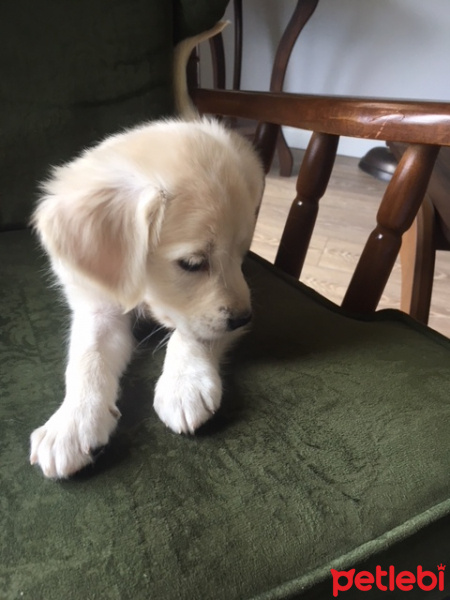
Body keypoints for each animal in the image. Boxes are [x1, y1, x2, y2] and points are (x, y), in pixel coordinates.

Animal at [29, 22, 266, 478]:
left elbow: (192, 330)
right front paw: (70, 422)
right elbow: (85, 357)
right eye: (192, 263)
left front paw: (184, 383)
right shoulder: (96, 303)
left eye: (242, 254)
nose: (245, 320)